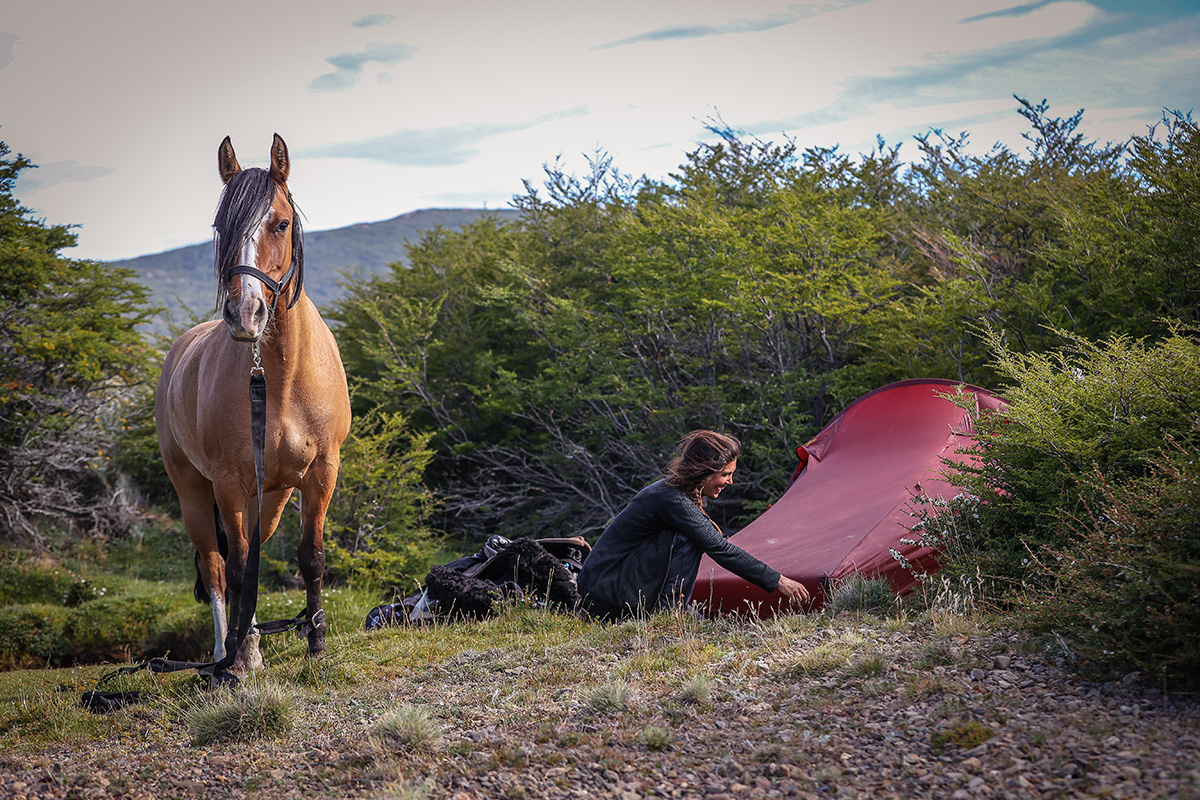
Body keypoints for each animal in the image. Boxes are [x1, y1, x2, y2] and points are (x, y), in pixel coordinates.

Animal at [156, 134, 350, 671]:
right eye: (221, 227)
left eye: (280, 223)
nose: (246, 313)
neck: (280, 379)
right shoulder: (228, 482)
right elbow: (239, 567)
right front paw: (236, 663)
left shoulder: (321, 473)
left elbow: (310, 557)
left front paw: (316, 643)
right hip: (195, 495)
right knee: (218, 565)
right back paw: (229, 649)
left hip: (272, 496)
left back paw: (253, 640)